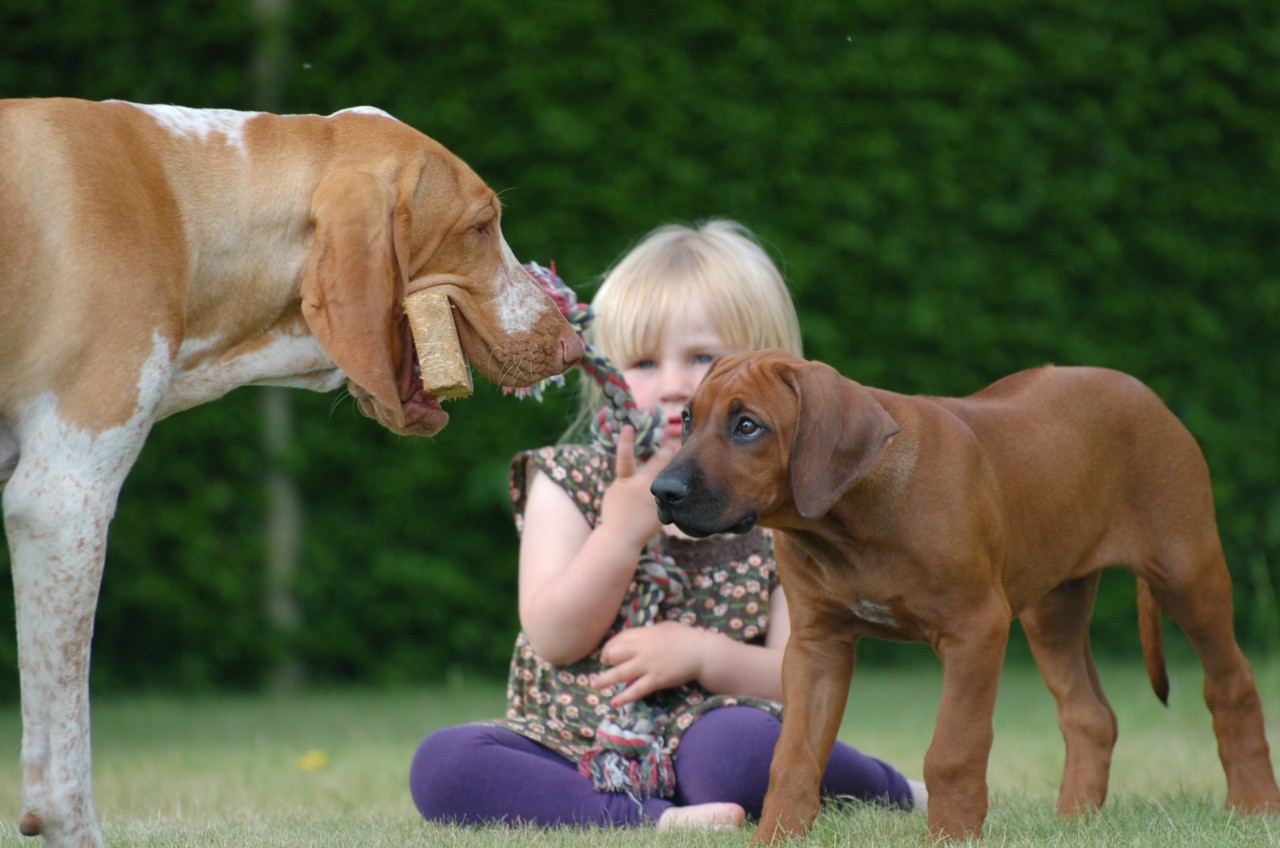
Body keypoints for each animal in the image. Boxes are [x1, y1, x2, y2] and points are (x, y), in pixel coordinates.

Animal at [651, 350, 1280, 842]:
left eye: (747, 426)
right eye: (686, 418)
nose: (662, 491)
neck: (848, 521)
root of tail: (1142, 390)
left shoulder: (976, 630)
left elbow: (953, 751)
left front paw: (952, 836)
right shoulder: (816, 646)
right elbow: (793, 756)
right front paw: (777, 837)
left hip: (1187, 570)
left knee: (1233, 683)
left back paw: (1253, 806)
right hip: (1053, 606)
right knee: (1089, 714)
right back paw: (1074, 821)